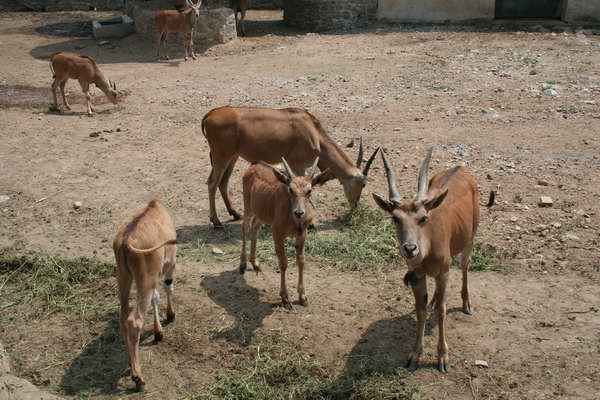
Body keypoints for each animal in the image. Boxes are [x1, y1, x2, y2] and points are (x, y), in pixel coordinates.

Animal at [112, 200, 177, 390]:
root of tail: (126, 242)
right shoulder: (170, 264)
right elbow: (168, 288)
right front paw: (170, 316)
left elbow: (156, 297)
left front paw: (158, 331)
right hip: (144, 281)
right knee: (135, 320)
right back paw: (138, 377)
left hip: (124, 278)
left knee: (123, 317)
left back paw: (130, 363)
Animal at [202, 106, 380, 228]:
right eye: (363, 184)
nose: (355, 207)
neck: (314, 132)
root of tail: (210, 114)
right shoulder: (298, 165)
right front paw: (310, 222)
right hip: (221, 156)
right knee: (212, 183)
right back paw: (216, 222)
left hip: (232, 156)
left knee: (223, 182)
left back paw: (235, 213)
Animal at [239, 157, 330, 310]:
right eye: (290, 189)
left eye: (309, 190)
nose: (299, 212)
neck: (293, 220)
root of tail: (253, 167)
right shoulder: (277, 233)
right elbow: (283, 263)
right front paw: (285, 298)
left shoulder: (302, 234)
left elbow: (301, 261)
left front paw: (303, 297)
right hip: (248, 206)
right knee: (245, 227)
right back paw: (242, 264)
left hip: (261, 214)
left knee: (255, 227)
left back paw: (255, 263)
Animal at [372, 148, 494, 374]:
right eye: (395, 218)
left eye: (423, 218)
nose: (410, 249)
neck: (427, 251)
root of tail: (461, 168)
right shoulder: (417, 275)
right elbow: (420, 310)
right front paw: (414, 355)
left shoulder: (443, 271)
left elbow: (442, 312)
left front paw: (443, 357)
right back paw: (435, 300)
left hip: (470, 239)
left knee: (465, 266)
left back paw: (466, 304)